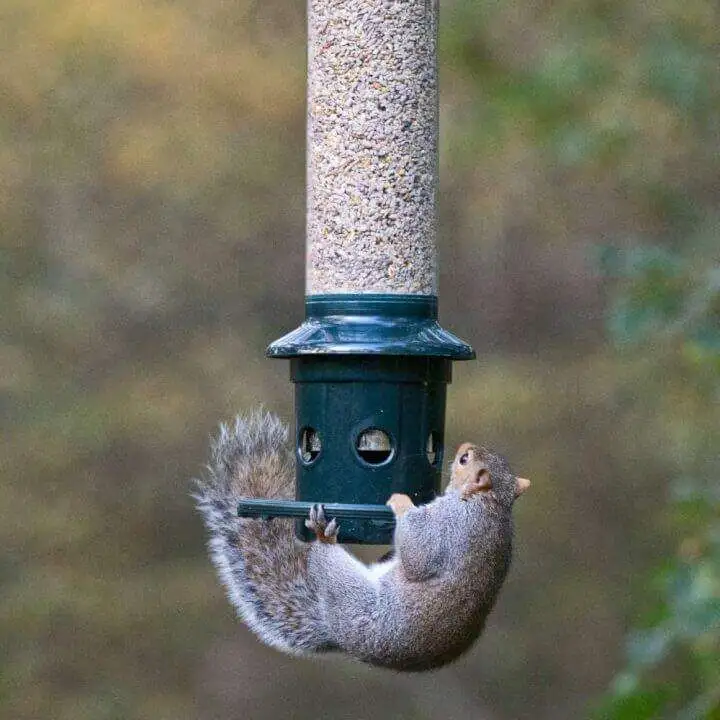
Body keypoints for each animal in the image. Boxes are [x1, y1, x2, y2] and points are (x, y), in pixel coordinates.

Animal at [193, 410, 530, 672]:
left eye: (464, 460)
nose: (461, 445)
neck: (490, 502)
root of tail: (334, 629)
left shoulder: (450, 527)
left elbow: (419, 554)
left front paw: (400, 501)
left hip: (351, 598)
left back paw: (323, 537)